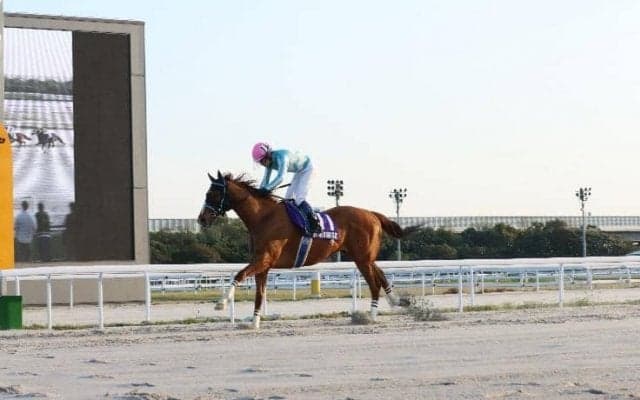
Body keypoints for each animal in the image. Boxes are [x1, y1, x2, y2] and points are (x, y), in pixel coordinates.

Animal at [198, 171, 405, 329]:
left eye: (212, 194)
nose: (201, 219)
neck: (263, 218)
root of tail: (372, 214)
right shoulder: (263, 264)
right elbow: (259, 294)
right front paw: (254, 322)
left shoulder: (264, 259)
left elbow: (239, 275)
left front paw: (221, 303)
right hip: (363, 256)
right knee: (380, 275)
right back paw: (396, 301)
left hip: (362, 258)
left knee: (374, 284)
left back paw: (371, 316)